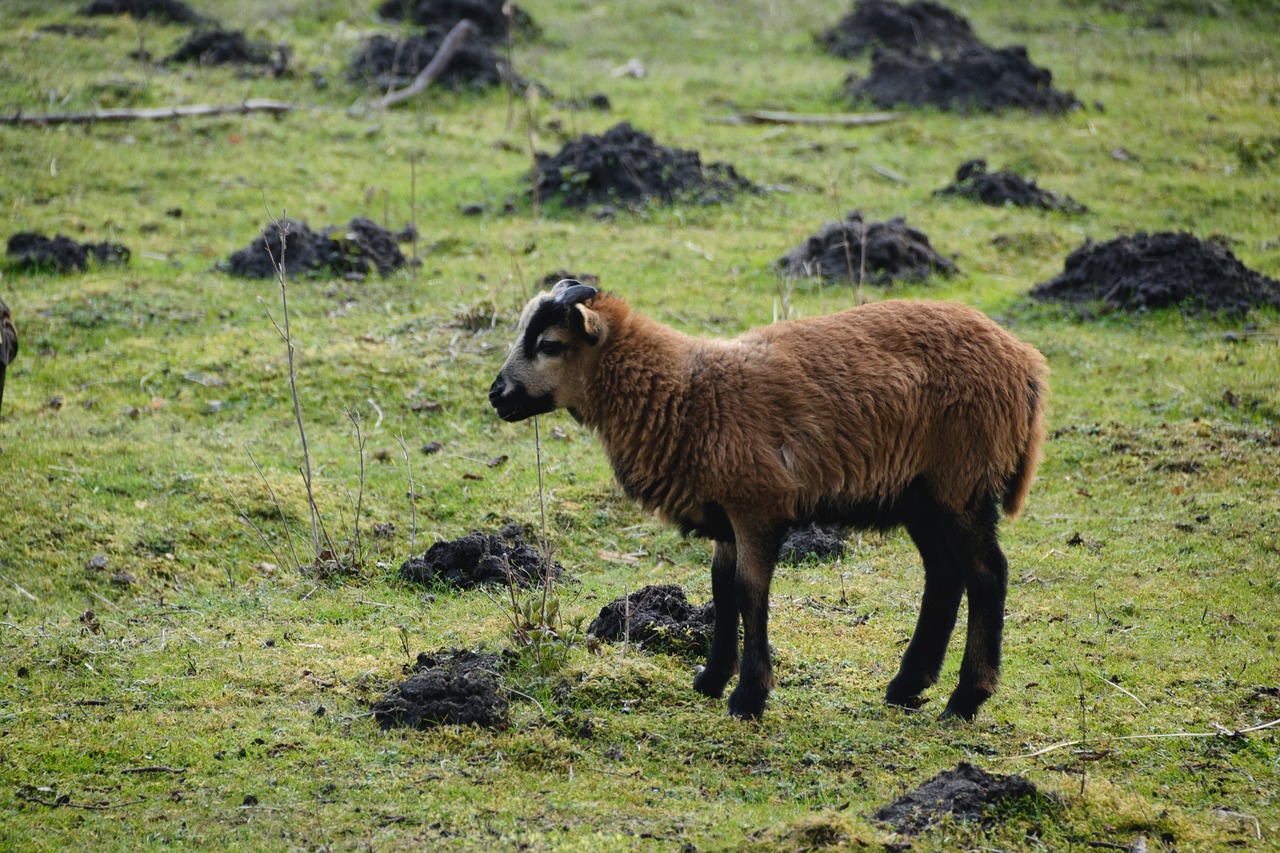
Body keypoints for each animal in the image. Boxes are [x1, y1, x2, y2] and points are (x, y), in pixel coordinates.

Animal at [483, 280, 1044, 717]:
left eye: (550, 344)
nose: (496, 395)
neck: (686, 392)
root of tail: (1024, 361)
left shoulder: (755, 507)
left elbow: (750, 592)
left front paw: (749, 696)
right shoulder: (725, 517)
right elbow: (721, 589)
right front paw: (711, 680)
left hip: (961, 483)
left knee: (987, 573)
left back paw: (966, 699)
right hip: (921, 495)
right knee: (944, 575)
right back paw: (907, 686)